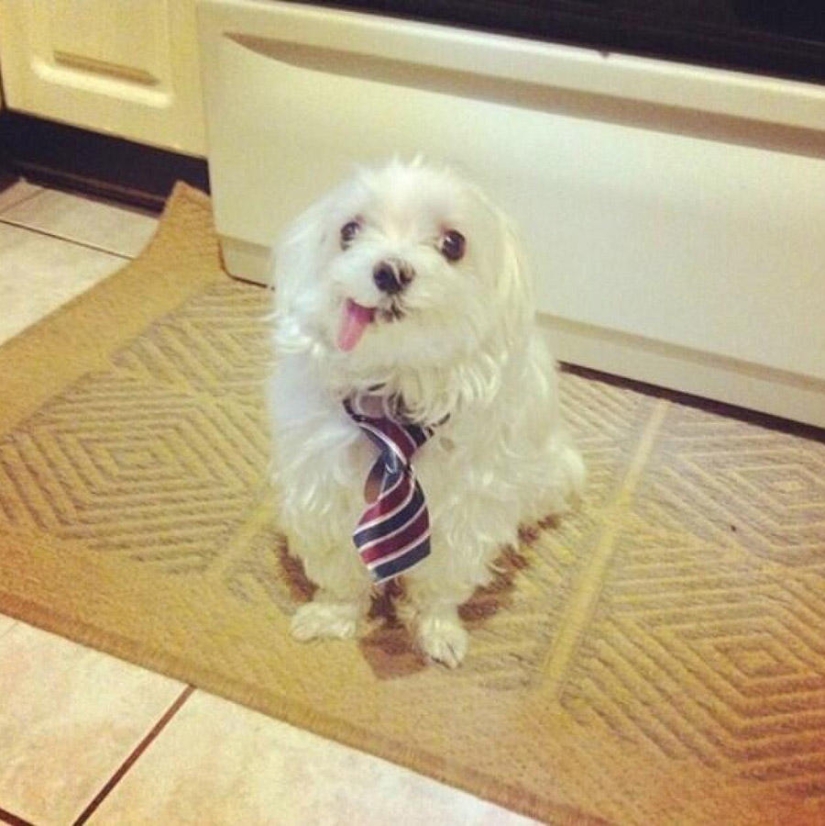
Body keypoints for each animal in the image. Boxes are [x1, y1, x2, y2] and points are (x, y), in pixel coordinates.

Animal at [268, 159, 584, 664]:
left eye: (454, 243)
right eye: (349, 230)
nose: (391, 272)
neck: (396, 389)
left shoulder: (463, 515)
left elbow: (438, 583)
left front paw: (437, 632)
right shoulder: (323, 494)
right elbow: (341, 573)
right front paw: (331, 616)